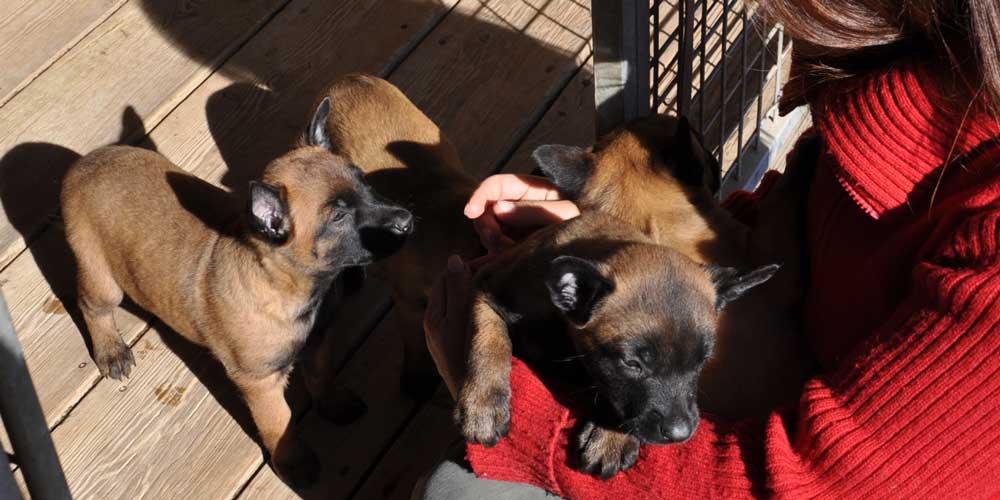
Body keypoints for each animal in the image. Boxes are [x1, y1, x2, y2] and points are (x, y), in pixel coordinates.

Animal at [60, 123, 412, 486]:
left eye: (365, 182)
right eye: (339, 217)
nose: (407, 220)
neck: (283, 281)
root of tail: (87, 162)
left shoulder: (319, 339)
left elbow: (321, 374)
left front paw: (332, 403)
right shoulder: (260, 382)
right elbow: (279, 423)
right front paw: (294, 463)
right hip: (101, 276)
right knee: (91, 306)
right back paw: (110, 351)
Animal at [458, 211, 776, 476]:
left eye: (703, 361)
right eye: (631, 363)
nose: (680, 434)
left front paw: (612, 438)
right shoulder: (484, 287)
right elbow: (487, 339)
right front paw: (483, 401)